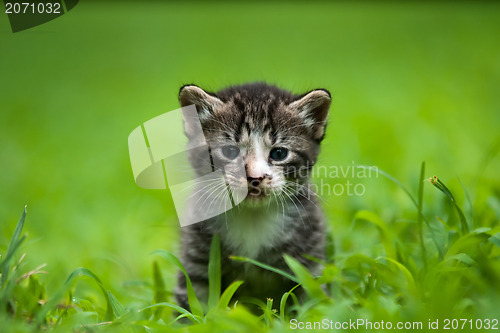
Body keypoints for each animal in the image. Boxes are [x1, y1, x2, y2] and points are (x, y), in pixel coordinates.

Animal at [174, 81, 330, 310]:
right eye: (230, 152)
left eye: (279, 153)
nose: (255, 178)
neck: (252, 217)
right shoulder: (196, 262)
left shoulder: (308, 259)